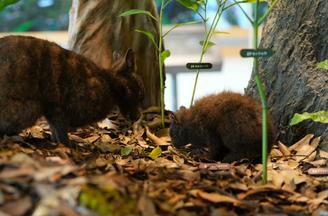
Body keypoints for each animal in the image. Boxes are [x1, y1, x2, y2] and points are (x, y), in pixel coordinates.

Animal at [0, 35, 144, 145]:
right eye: (139, 91)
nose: (138, 116)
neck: (109, 83)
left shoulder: (54, 111)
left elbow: (55, 130)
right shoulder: (59, 109)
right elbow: (61, 131)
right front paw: (68, 146)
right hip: (29, 109)